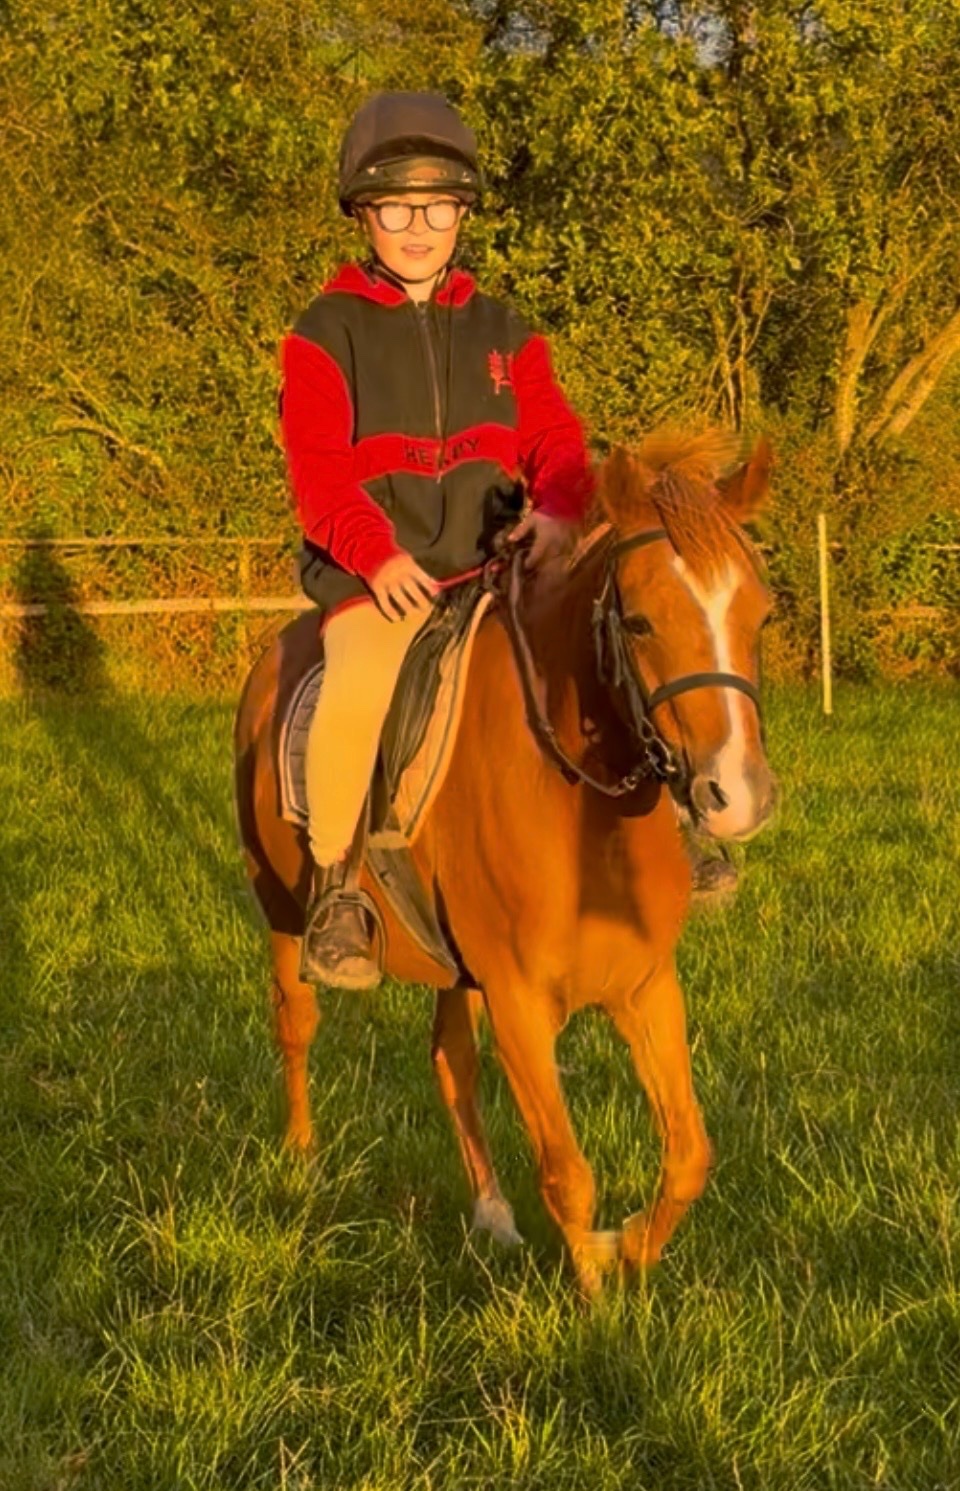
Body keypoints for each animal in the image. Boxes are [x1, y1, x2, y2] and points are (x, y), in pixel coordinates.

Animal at [233, 429, 775, 1295]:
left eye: (760, 613)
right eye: (641, 621)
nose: (739, 795)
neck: (576, 806)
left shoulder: (645, 985)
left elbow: (689, 1154)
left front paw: (629, 1251)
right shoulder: (521, 1001)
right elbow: (569, 1174)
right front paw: (602, 1308)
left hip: (457, 969)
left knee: (451, 1059)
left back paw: (490, 1214)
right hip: (281, 912)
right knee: (296, 1025)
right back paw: (304, 1161)